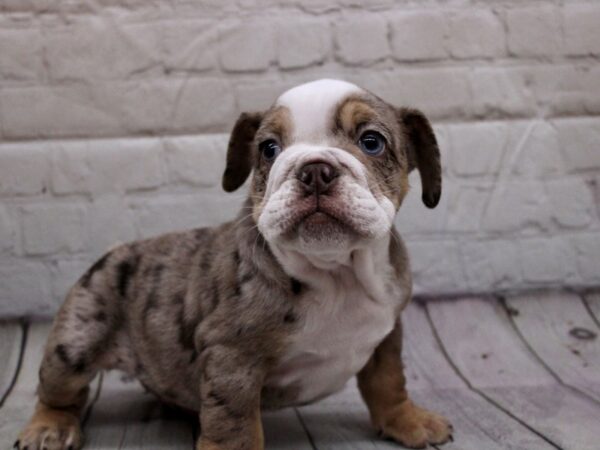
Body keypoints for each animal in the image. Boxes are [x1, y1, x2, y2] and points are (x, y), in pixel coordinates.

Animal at [16, 80, 450, 450]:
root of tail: (116, 252)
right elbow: (234, 423)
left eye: (372, 142)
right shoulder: (232, 356)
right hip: (76, 338)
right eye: (269, 149)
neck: (335, 271)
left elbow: (388, 381)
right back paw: (50, 427)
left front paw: (408, 420)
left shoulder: (387, 333)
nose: (314, 169)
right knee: (60, 390)